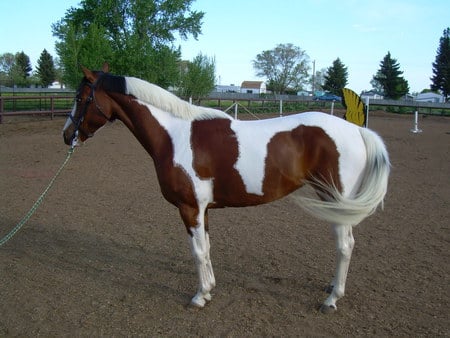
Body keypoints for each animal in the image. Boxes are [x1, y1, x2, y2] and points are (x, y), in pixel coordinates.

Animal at [63, 64, 390, 312]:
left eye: (81, 97)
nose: (67, 135)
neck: (174, 135)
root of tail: (357, 131)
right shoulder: (202, 210)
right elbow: (206, 248)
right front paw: (209, 290)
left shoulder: (189, 208)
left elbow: (197, 251)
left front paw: (198, 296)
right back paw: (332, 287)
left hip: (336, 200)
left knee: (345, 245)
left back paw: (331, 300)